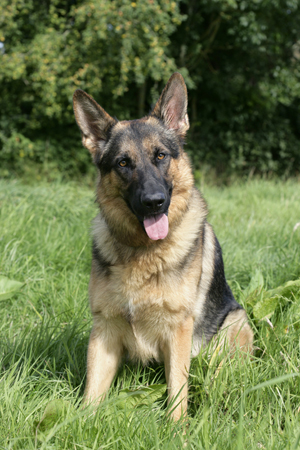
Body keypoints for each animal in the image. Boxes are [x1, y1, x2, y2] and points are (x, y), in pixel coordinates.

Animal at [72, 72, 253, 420]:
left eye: (160, 156)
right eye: (123, 163)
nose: (154, 202)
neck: (143, 251)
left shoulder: (178, 330)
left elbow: (178, 390)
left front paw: (177, 428)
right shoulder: (104, 329)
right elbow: (92, 392)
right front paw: (77, 424)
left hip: (234, 323)